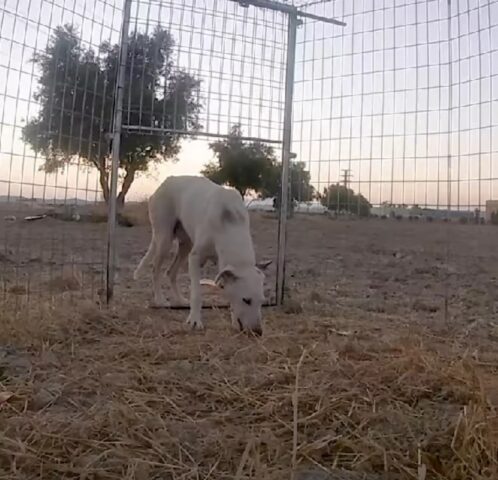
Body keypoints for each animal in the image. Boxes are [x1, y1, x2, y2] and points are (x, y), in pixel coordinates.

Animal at [134, 174, 270, 336]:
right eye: (246, 300)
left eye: (262, 301)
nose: (258, 332)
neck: (230, 221)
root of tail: (167, 181)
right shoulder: (195, 258)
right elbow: (197, 294)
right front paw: (194, 320)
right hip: (164, 240)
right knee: (156, 270)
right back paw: (160, 300)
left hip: (186, 245)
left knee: (171, 272)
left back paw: (180, 300)